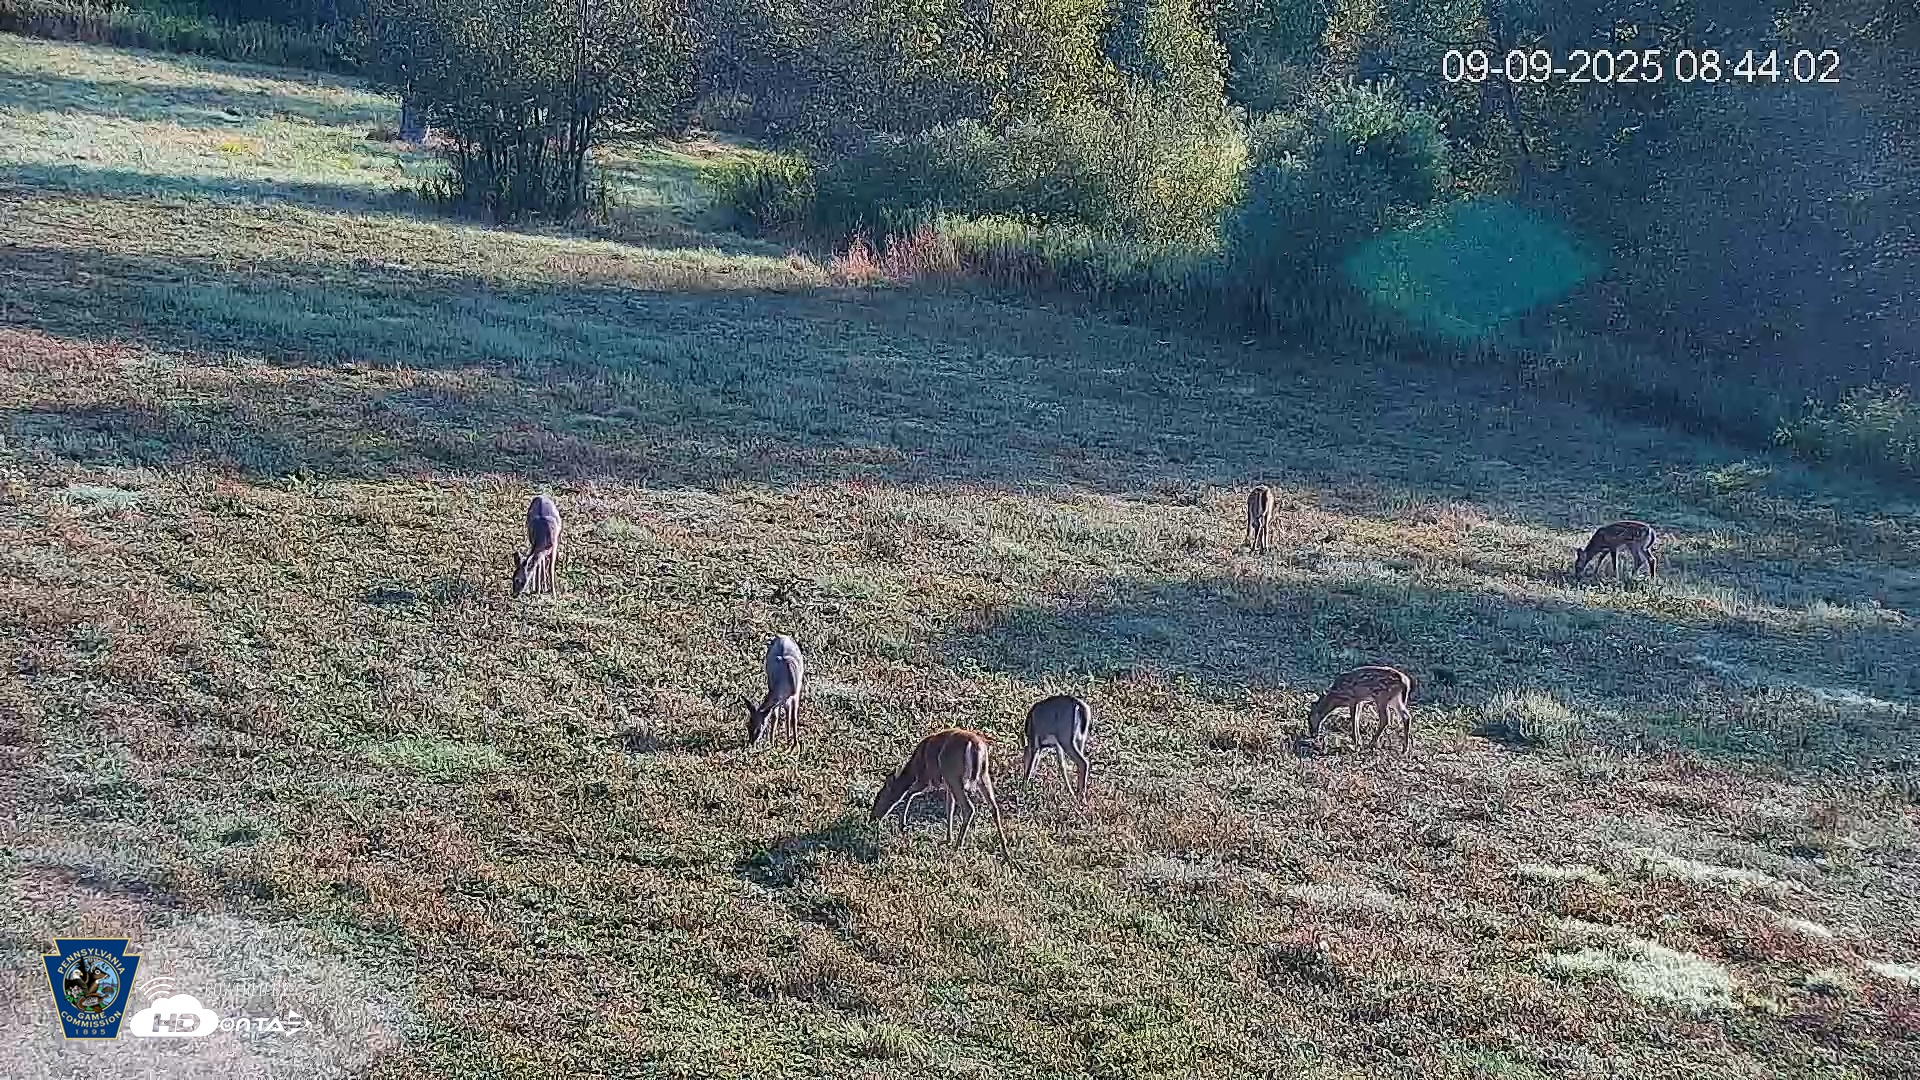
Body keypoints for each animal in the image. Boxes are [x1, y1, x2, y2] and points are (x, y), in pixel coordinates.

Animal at [870, 728, 1010, 860]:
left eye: (879, 797)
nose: (873, 818)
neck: (914, 767)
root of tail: (975, 746)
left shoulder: (925, 778)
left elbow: (909, 793)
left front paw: (902, 824)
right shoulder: (945, 786)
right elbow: (949, 808)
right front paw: (948, 838)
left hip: (953, 774)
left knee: (969, 808)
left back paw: (958, 846)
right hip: (982, 775)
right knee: (994, 807)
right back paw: (1005, 851)